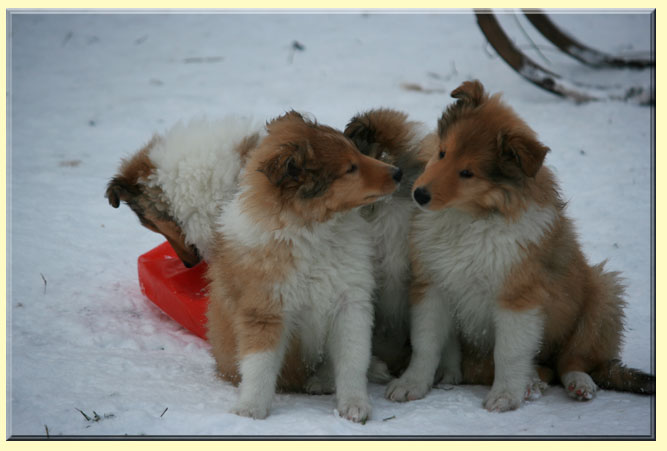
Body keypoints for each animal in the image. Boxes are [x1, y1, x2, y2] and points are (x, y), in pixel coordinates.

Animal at [205, 111, 402, 422]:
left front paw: (355, 406)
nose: (398, 172)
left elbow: (353, 359)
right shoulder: (265, 310)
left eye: (358, 152)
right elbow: (259, 364)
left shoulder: (350, 303)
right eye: (350, 169)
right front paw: (250, 409)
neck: (315, 230)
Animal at [386, 80, 655, 411]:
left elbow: (509, 352)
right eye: (442, 153)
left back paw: (576, 384)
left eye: (468, 173)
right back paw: (531, 380)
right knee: (548, 368)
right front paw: (410, 385)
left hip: (602, 295)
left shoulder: (518, 296)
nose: (419, 195)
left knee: (571, 361)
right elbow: (425, 343)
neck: (471, 217)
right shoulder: (433, 285)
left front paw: (505, 396)